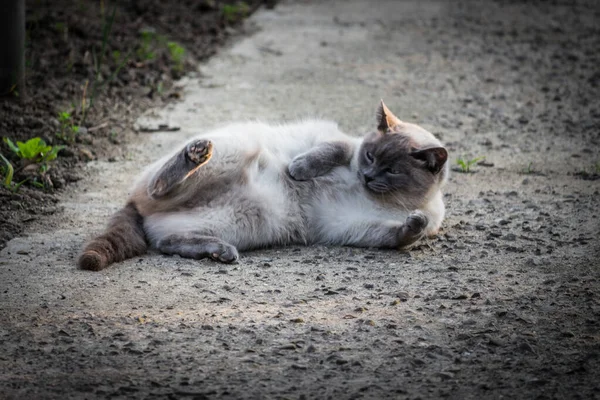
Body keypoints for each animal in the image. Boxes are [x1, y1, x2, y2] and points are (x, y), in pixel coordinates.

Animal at [78, 100, 446, 270]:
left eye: (392, 171)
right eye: (370, 156)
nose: (368, 177)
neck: (390, 202)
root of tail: (132, 203)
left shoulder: (353, 225)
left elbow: (400, 234)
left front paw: (415, 222)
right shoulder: (339, 142)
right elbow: (333, 150)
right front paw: (298, 170)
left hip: (241, 224)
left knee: (165, 241)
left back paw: (220, 252)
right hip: (237, 149)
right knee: (159, 187)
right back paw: (196, 154)